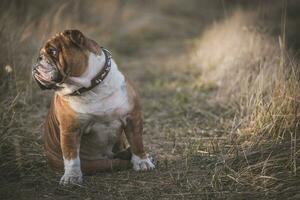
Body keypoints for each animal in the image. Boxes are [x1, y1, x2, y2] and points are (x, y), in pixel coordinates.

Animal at [32, 30, 155, 186]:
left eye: (53, 51)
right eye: (41, 54)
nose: (38, 59)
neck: (91, 88)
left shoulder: (132, 118)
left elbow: (137, 142)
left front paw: (142, 161)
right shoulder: (70, 130)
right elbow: (71, 156)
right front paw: (72, 176)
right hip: (93, 163)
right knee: (112, 162)